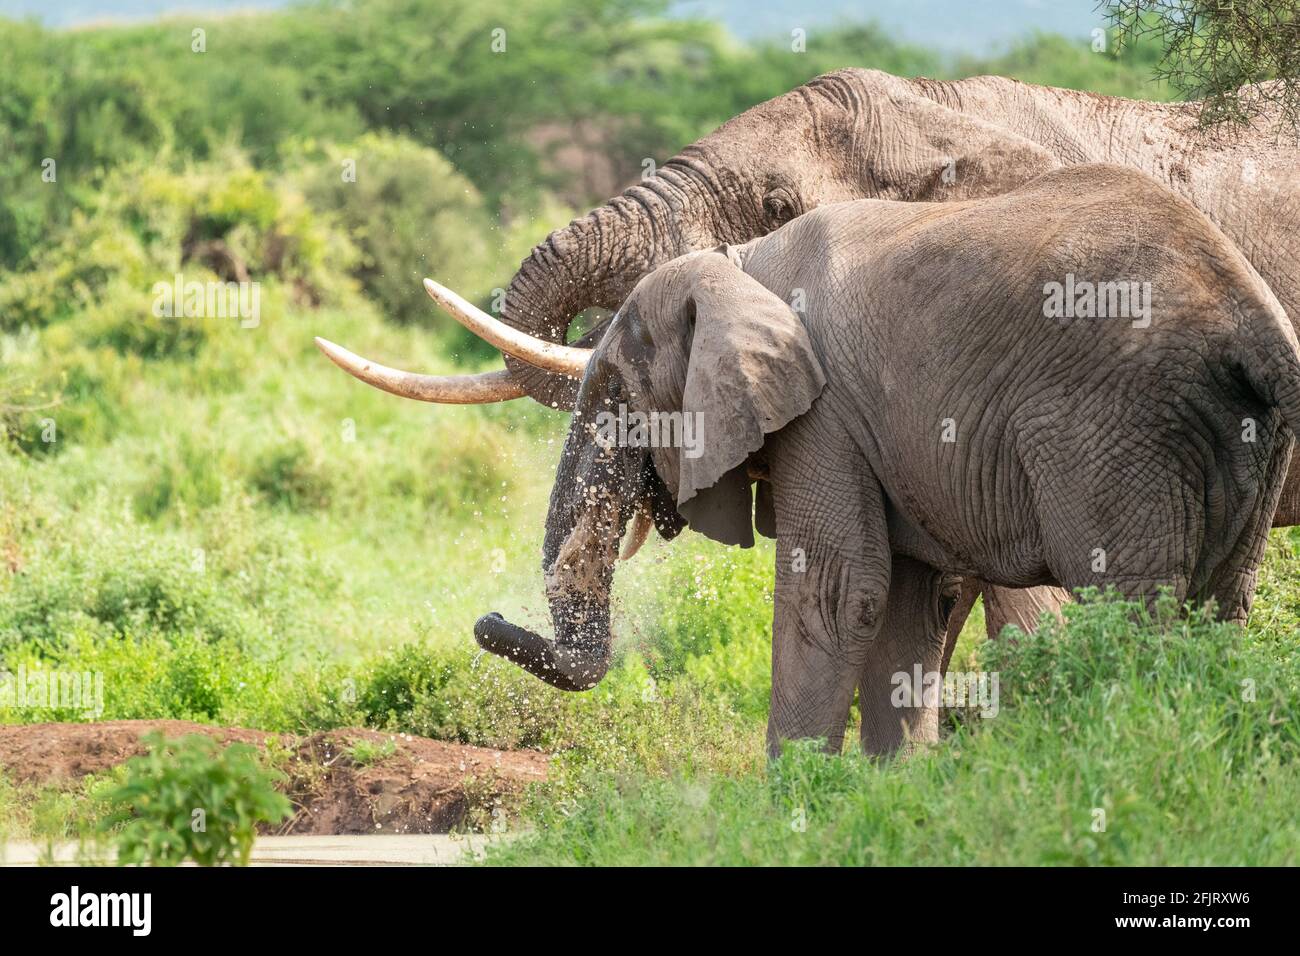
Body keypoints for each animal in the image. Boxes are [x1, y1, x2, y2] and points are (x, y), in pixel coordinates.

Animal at [473, 167, 1300, 759]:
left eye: (614, 390)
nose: (487, 620)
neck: (738, 265)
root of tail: (1257, 330)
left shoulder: (824, 415)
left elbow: (837, 593)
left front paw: (789, 805)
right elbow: (910, 602)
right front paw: (892, 787)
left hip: (1110, 431)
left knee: (1129, 609)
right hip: (1238, 440)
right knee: (1220, 604)